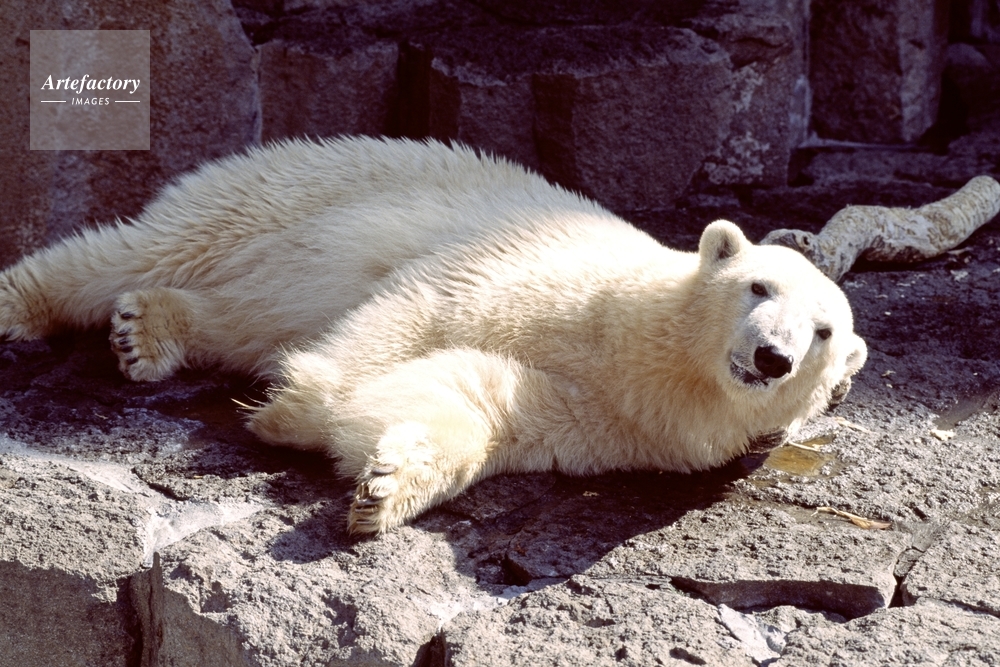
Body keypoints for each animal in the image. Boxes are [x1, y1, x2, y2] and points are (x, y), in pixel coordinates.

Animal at [0, 137, 867, 533]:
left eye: (824, 331)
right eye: (758, 285)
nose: (772, 355)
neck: (636, 339)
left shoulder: (614, 418)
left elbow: (479, 399)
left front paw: (381, 489)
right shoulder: (531, 272)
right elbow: (417, 308)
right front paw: (301, 405)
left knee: (237, 311)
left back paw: (146, 332)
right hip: (290, 191)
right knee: (145, 245)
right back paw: (25, 304)